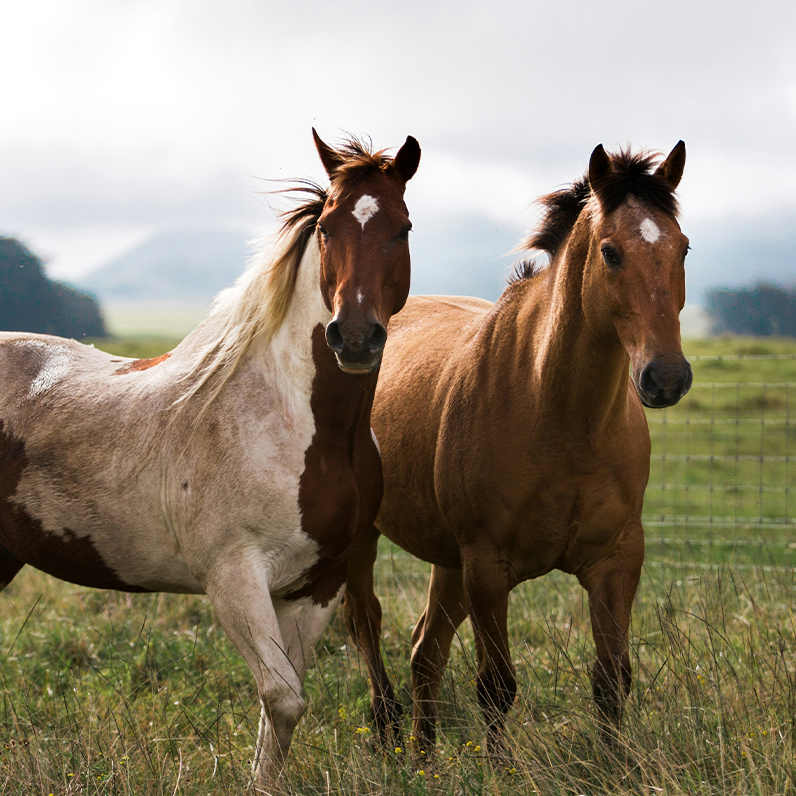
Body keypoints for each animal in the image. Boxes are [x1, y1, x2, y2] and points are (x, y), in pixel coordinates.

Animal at [0, 129, 420, 791]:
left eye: (401, 228)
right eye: (328, 228)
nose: (354, 337)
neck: (303, 428)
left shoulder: (318, 586)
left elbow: (281, 706)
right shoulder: (234, 578)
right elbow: (283, 699)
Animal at [343, 142, 692, 758]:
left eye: (683, 247)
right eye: (611, 252)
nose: (666, 378)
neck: (559, 419)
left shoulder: (616, 561)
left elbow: (612, 678)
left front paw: (614, 767)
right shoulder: (488, 566)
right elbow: (496, 686)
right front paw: (501, 769)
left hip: (449, 560)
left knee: (425, 651)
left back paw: (424, 761)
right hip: (376, 543)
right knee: (368, 625)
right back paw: (389, 736)